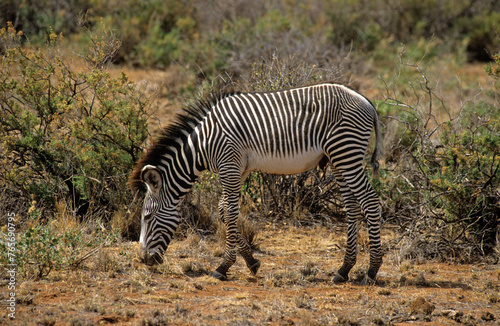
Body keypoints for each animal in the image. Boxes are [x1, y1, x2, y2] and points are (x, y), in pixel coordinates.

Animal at [129, 83, 382, 284]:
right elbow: (224, 211)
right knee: (352, 207)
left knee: (370, 202)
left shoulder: (229, 166)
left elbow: (231, 213)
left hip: (346, 152)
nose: (144, 260)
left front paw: (223, 267)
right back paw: (344, 269)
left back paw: (372, 271)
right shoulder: (239, 170)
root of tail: (367, 101)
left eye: (147, 217)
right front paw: (251, 261)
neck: (203, 144)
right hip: (339, 160)